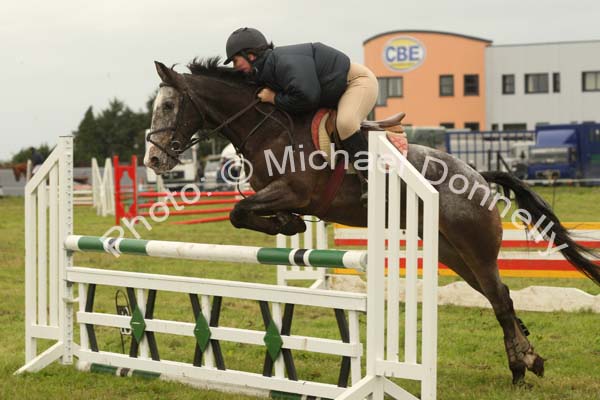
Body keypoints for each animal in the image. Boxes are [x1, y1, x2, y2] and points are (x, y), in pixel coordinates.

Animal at [143, 57, 596, 386]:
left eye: (167, 106)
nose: (153, 160)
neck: (266, 127)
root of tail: (478, 176)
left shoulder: (294, 190)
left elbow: (240, 212)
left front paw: (287, 226)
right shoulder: (274, 194)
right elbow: (246, 213)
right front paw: (288, 225)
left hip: (476, 248)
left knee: (500, 298)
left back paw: (521, 368)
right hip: (454, 253)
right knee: (497, 297)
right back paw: (529, 360)